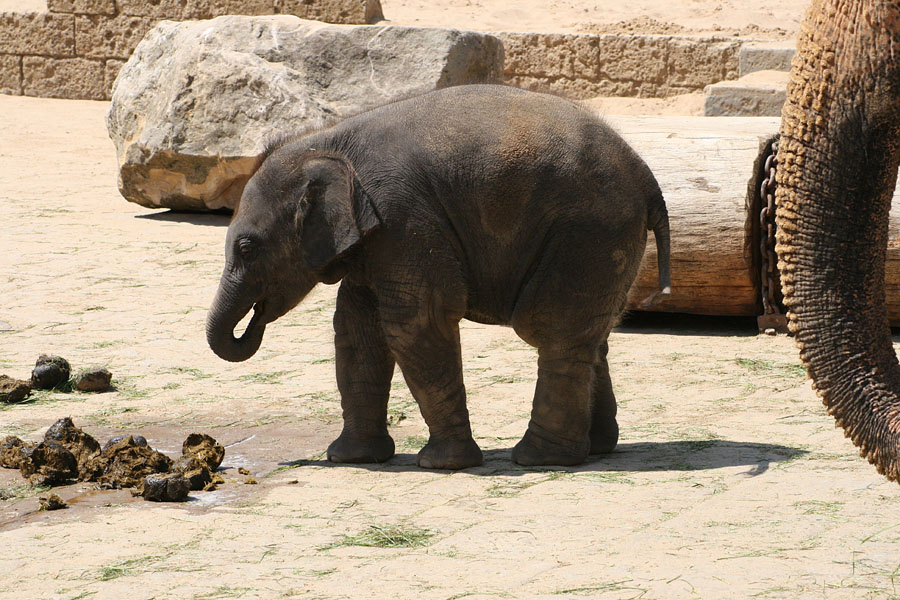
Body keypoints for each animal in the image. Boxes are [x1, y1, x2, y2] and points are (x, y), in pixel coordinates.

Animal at [206, 83, 668, 468]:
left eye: (247, 248)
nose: (254, 320)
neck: (326, 141)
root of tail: (648, 178)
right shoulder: (377, 241)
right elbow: (356, 331)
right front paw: (350, 458)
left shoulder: (404, 220)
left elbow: (414, 325)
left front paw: (443, 465)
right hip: (604, 241)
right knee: (591, 335)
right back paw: (597, 448)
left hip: (587, 230)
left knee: (551, 327)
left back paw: (539, 459)